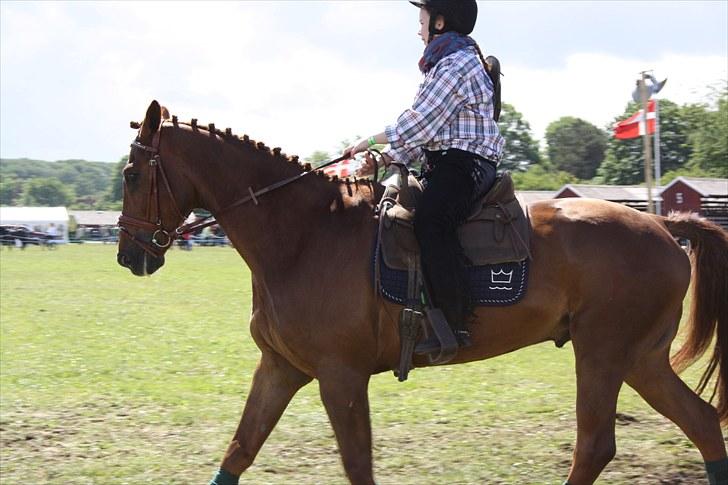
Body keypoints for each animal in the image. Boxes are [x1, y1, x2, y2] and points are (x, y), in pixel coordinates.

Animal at [116, 99, 724, 484]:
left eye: (130, 174)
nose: (129, 255)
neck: (304, 235)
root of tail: (664, 225)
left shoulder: (340, 378)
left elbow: (357, 464)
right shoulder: (281, 368)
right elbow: (240, 451)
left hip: (602, 354)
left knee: (596, 445)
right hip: (639, 359)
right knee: (700, 422)